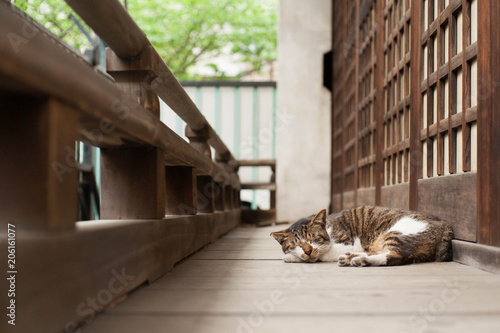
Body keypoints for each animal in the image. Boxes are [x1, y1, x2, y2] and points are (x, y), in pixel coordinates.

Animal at [272, 204, 456, 266]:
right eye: (296, 245)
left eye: (314, 239)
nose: (307, 250)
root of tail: (444, 224)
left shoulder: (348, 243)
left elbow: (322, 254)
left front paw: (291, 257)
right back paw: (352, 258)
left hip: (396, 233)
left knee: (393, 256)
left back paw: (360, 259)